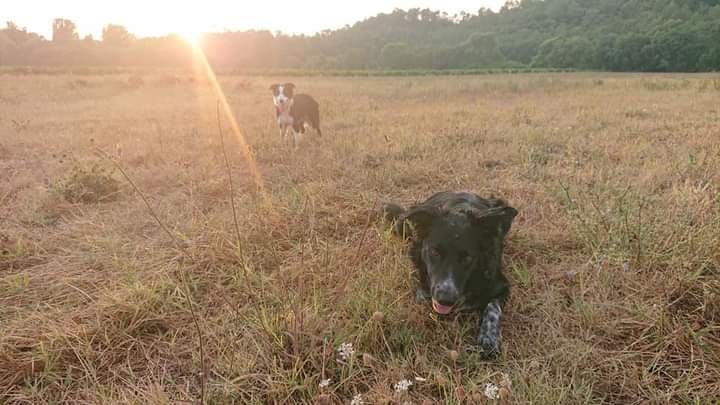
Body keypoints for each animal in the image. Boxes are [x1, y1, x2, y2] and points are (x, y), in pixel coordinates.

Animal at [382, 191, 516, 356]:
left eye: (467, 257)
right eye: (435, 251)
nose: (445, 300)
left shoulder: (501, 285)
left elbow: (493, 308)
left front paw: (489, 337)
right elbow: (423, 295)